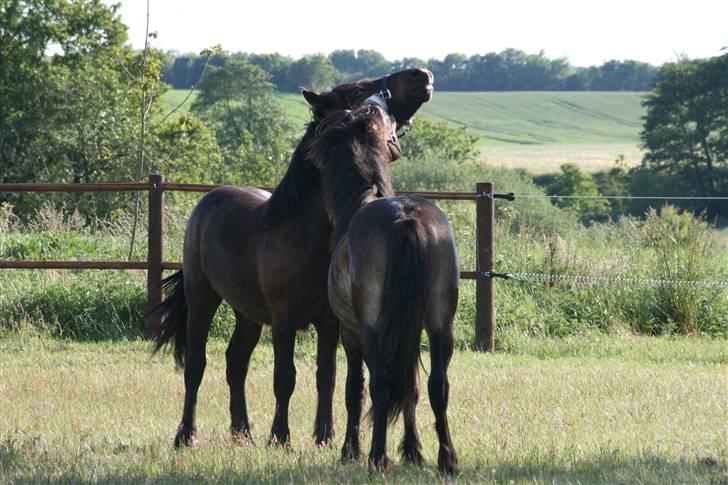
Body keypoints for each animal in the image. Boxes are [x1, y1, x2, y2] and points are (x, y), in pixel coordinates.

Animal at [151, 67, 436, 446]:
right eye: (357, 90)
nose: (422, 75)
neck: (306, 235)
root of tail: (207, 202)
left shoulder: (329, 323)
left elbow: (326, 376)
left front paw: (325, 436)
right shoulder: (284, 319)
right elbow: (285, 377)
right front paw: (280, 437)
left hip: (248, 313)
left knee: (235, 362)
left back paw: (243, 433)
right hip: (202, 298)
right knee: (196, 364)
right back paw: (187, 435)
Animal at [304, 72, 458, 472]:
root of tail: (405, 217)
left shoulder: (350, 331)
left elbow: (354, 389)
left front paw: (350, 450)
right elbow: (413, 388)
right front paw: (414, 451)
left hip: (372, 329)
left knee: (381, 384)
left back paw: (376, 456)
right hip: (440, 324)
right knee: (437, 385)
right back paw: (446, 459)